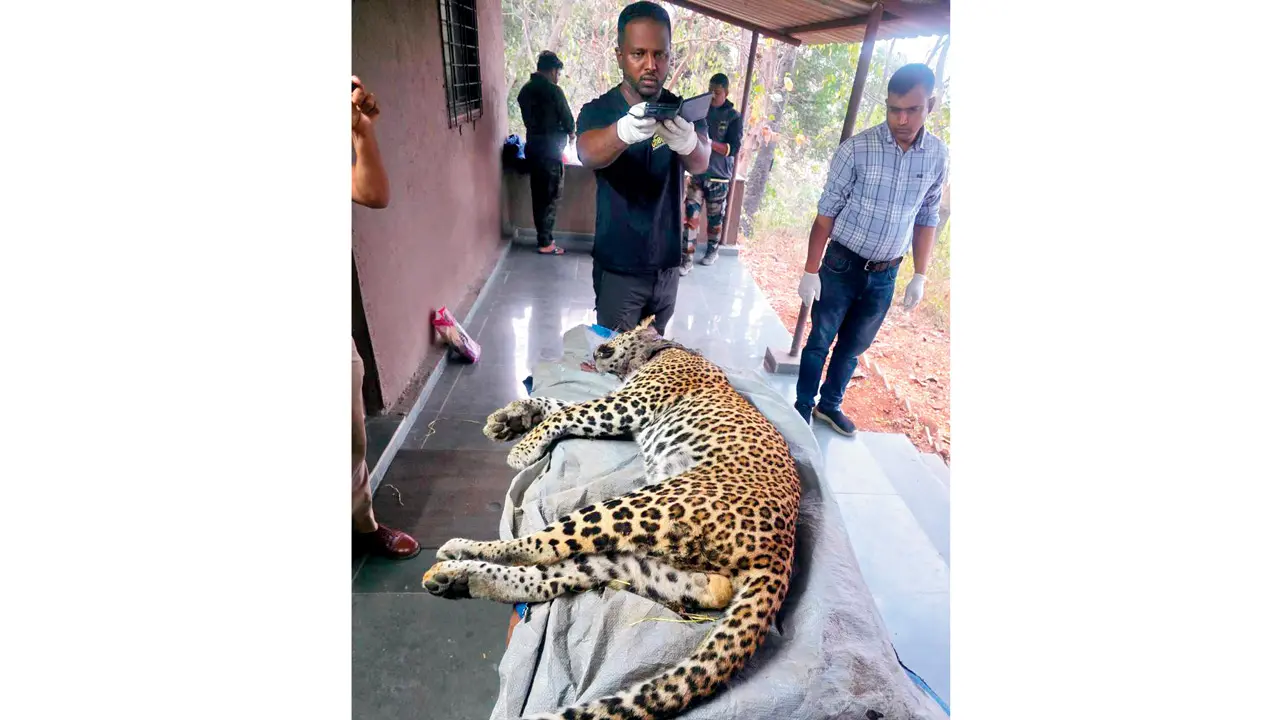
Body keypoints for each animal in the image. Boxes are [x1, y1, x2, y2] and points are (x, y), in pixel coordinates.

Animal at [422, 315, 801, 720]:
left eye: (620, 331)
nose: (597, 350)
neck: (658, 350)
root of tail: (783, 551)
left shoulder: (630, 404)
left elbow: (565, 411)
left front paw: (523, 447)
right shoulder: (619, 406)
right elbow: (556, 402)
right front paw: (508, 420)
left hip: (639, 506)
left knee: (537, 547)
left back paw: (461, 552)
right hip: (653, 567)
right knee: (556, 574)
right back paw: (458, 578)